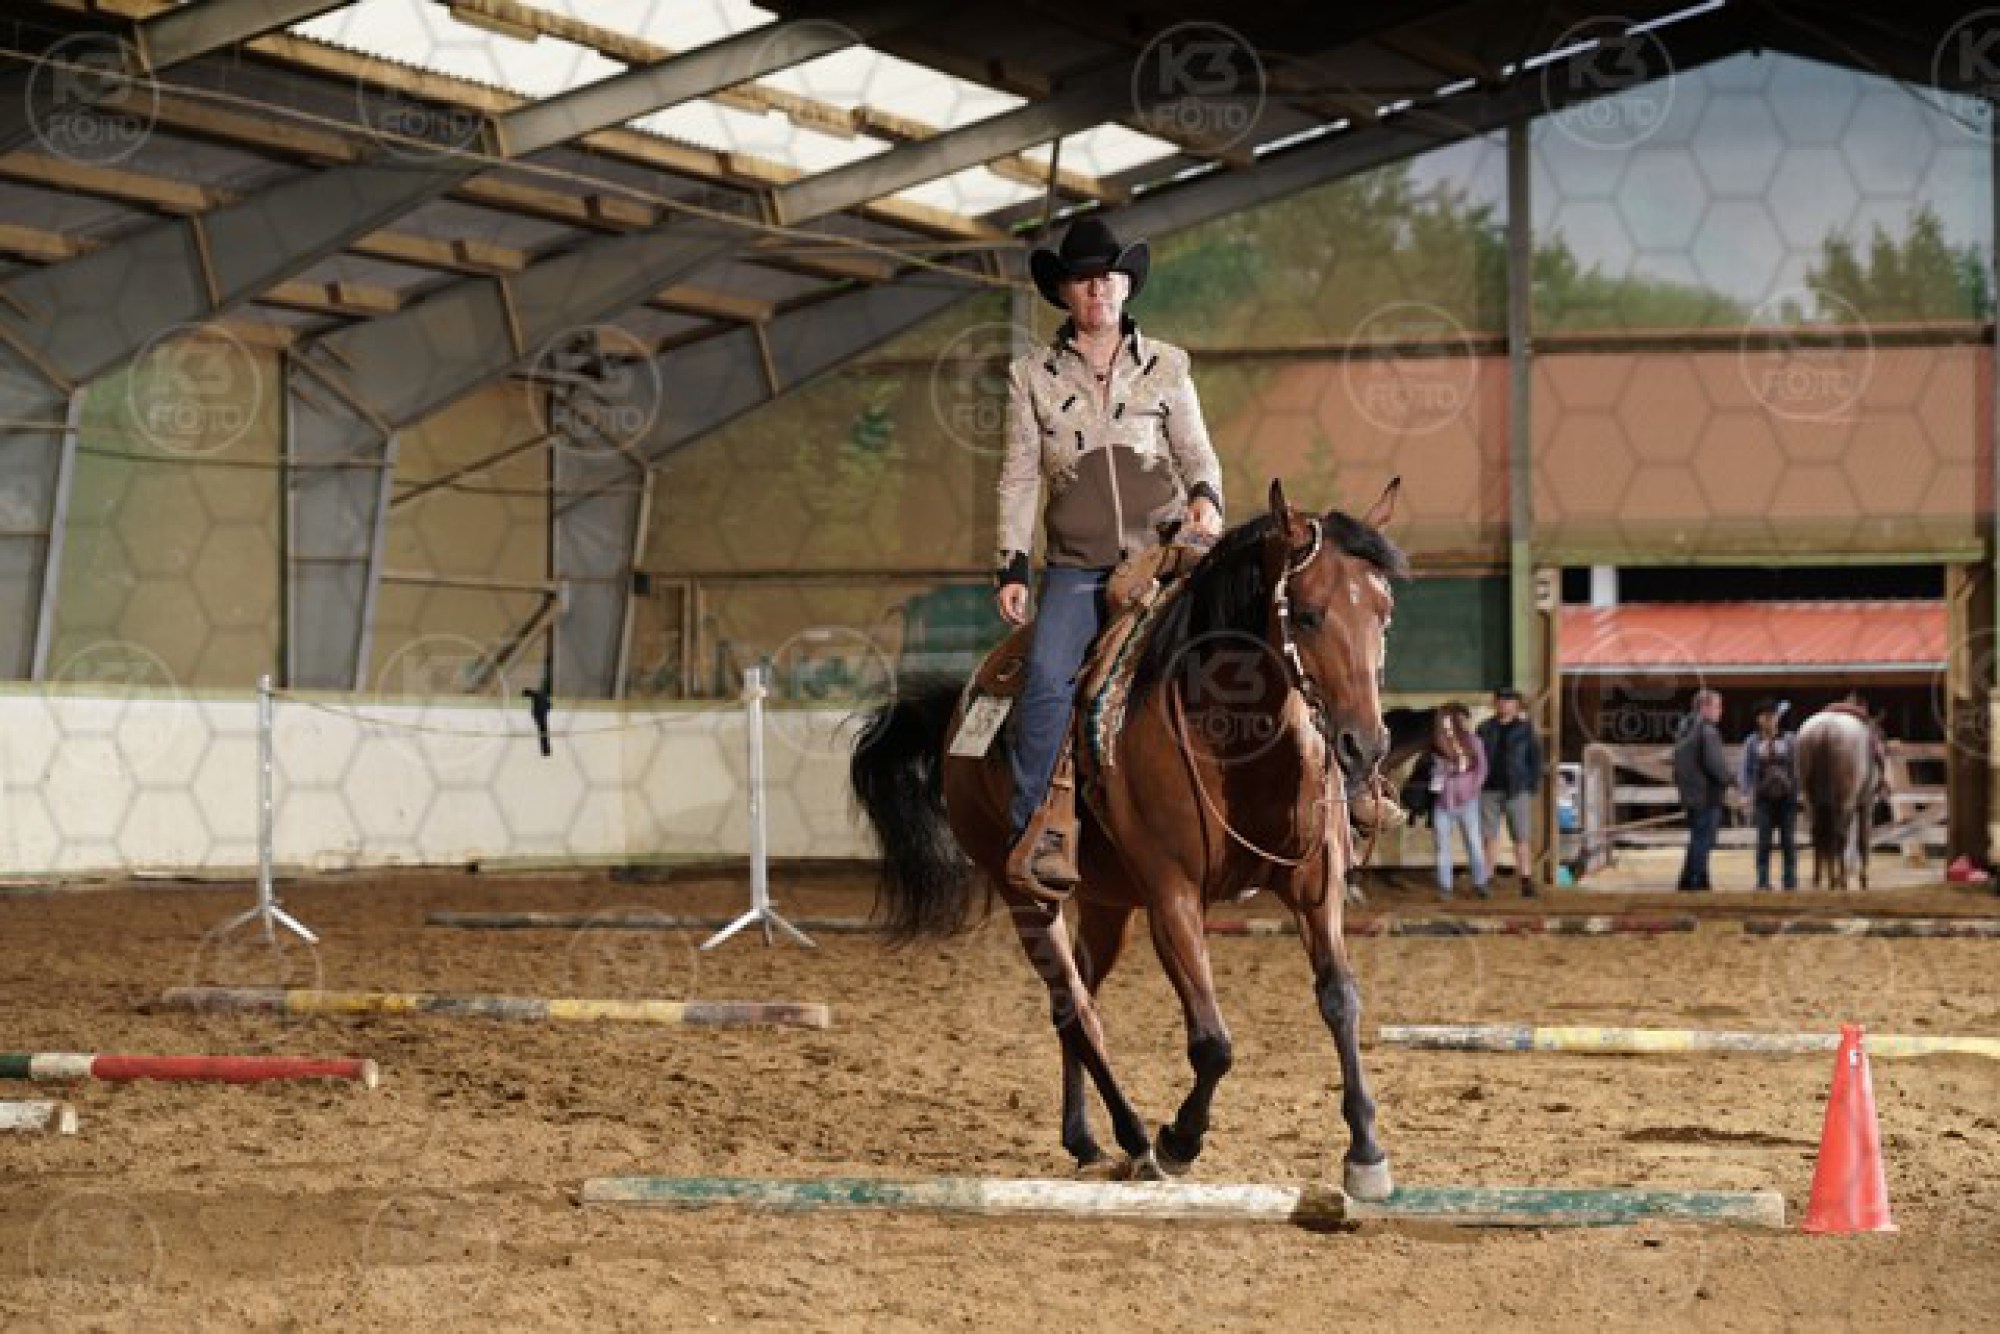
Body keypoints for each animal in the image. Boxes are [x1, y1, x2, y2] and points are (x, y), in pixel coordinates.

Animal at [850, 478, 1406, 1198]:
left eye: (1383, 613)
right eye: (1308, 615)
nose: (1365, 745)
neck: (1233, 733)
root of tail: (961, 706)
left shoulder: (1316, 885)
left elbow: (1340, 999)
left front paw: (1365, 1152)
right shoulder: (1172, 898)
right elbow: (1212, 1043)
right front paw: (1179, 1141)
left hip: (1107, 904)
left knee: (1081, 997)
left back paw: (1083, 1136)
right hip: (1025, 895)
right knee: (1073, 1007)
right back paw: (1135, 1137)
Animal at [1796, 710, 1877, 891]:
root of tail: (1826, 729)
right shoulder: (1865, 802)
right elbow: (1863, 839)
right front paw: (1863, 880)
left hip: (1810, 801)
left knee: (1818, 833)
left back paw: (1820, 879)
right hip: (1845, 802)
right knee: (1839, 837)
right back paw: (1841, 881)